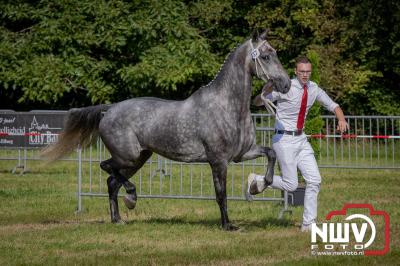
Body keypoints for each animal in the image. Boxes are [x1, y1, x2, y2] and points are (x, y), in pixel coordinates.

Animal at [42, 30, 290, 231]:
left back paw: (118, 219)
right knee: (106, 168)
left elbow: (271, 154)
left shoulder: (241, 154)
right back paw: (131, 197)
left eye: (275, 53)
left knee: (112, 181)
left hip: (137, 159)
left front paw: (258, 186)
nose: (286, 84)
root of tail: (109, 110)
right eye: (265, 57)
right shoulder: (218, 160)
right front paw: (227, 226)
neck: (226, 106)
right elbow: (221, 194)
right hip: (127, 156)